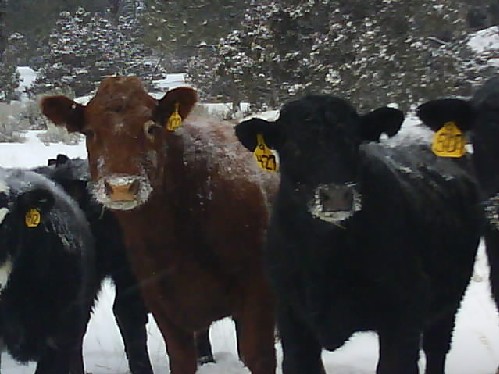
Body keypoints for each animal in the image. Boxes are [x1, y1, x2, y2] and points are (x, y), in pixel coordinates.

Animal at [234, 94, 484, 374]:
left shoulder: (406, 309)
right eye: (292, 145)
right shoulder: (292, 315)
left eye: (355, 143)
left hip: (449, 300)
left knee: (436, 348)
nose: (336, 196)